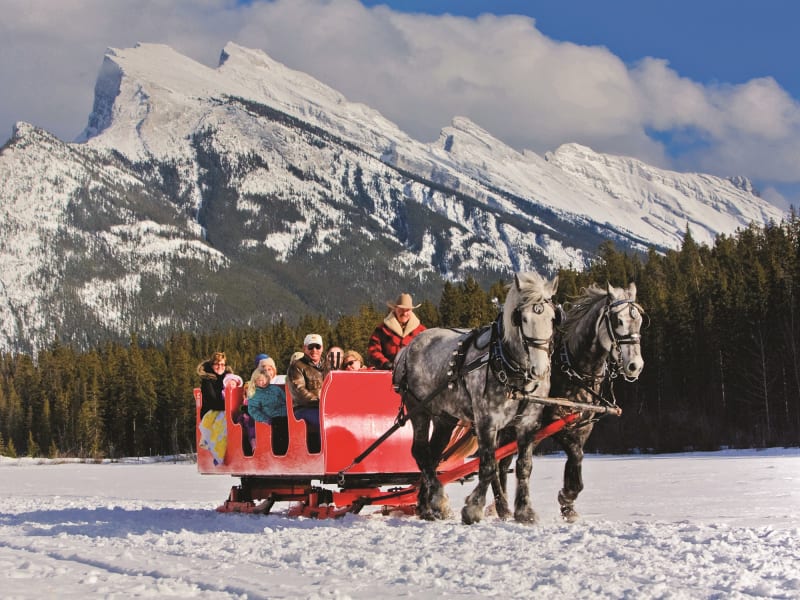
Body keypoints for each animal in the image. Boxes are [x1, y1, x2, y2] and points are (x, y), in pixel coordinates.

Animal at [392, 270, 556, 524]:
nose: (539, 370)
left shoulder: (528, 423)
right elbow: (488, 466)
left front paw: (524, 511)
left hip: (445, 417)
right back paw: (438, 500)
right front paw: (473, 509)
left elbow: (524, 466)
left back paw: (426, 506)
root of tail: (406, 349)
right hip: (419, 410)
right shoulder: (487, 421)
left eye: (552, 318)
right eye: (522, 319)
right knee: (420, 452)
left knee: (433, 454)